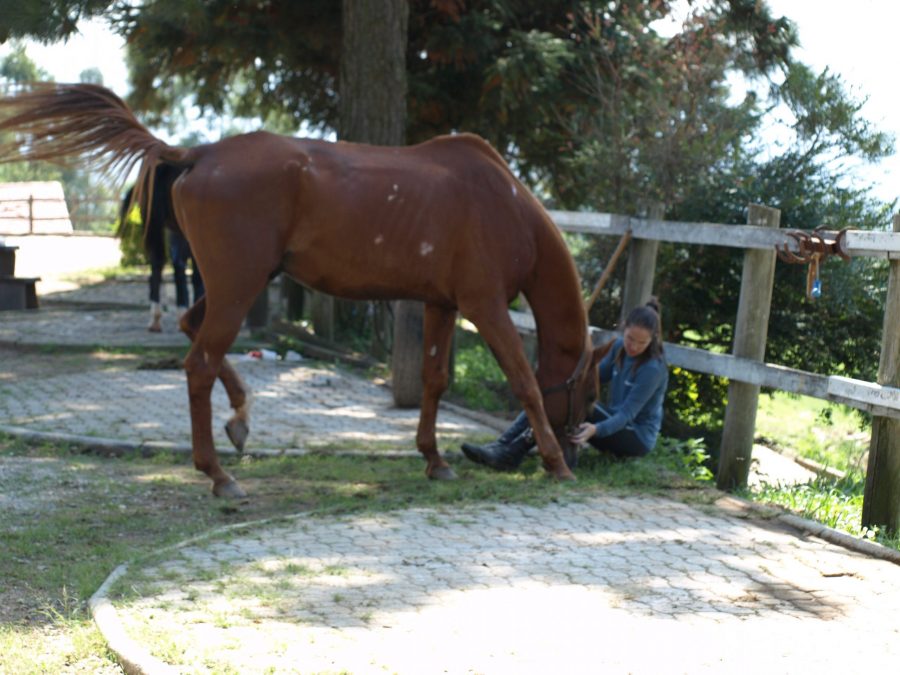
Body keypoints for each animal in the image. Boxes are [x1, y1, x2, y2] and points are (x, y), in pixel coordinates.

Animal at [1, 83, 604, 496]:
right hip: (239, 286)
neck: (502, 203)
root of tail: (198, 154)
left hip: (236, 284)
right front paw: (556, 464)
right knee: (200, 362)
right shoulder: (485, 307)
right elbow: (525, 382)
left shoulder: (440, 305)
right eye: (592, 390)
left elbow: (435, 381)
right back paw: (219, 474)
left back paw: (240, 419)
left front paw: (435, 459)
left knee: (192, 329)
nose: (580, 442)